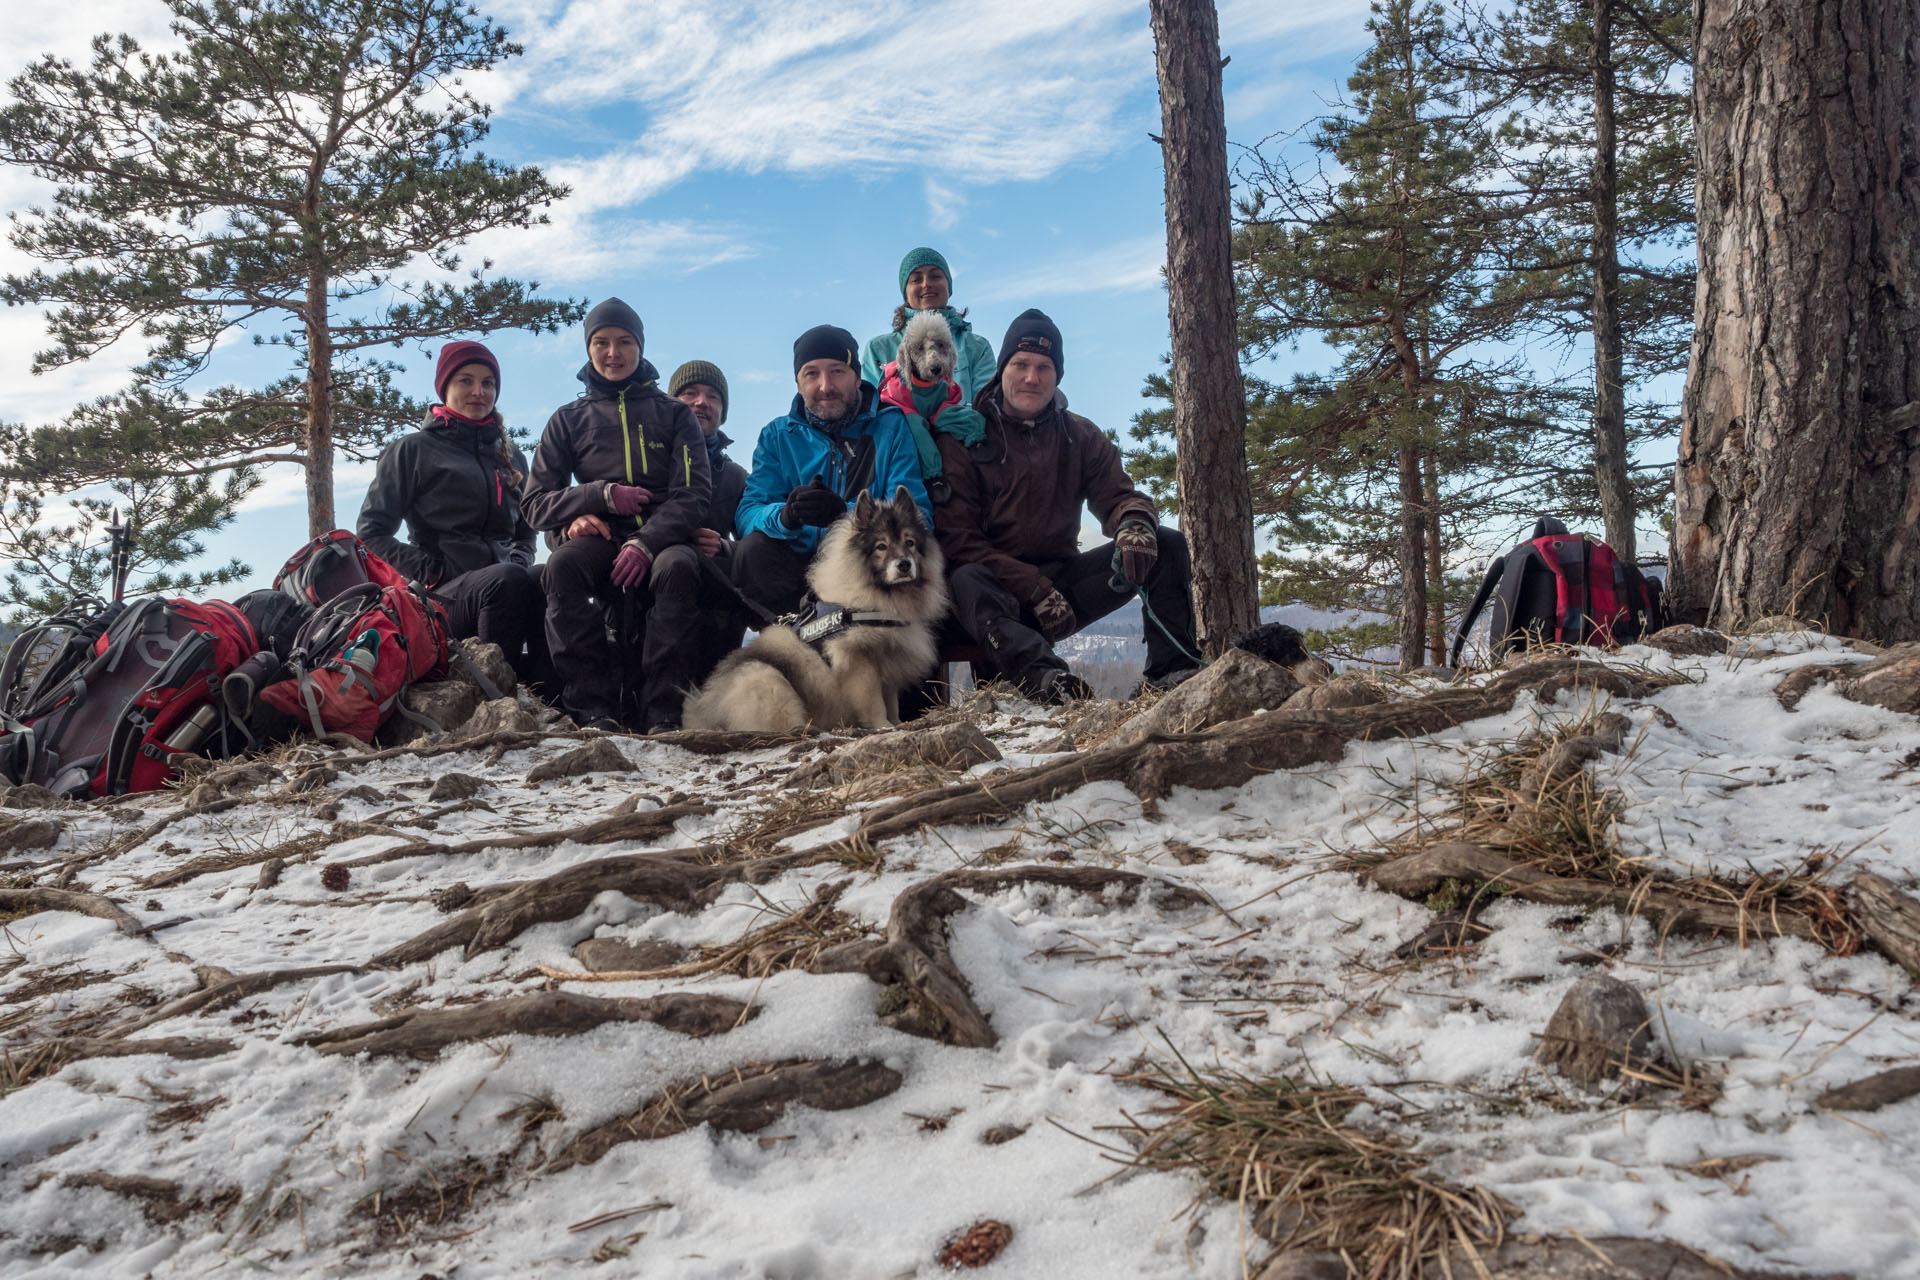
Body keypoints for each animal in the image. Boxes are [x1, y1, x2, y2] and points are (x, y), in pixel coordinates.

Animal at [679, 487, 948, 736]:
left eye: (910, 542)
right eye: (881, 546)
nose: (904, 564)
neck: (872, 597)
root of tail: (707, 712)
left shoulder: (888, 660)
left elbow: (891, 702)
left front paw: (897, 723)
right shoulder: (859, 661)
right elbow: (874, 703)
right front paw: (883, 726)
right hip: (765, 678)